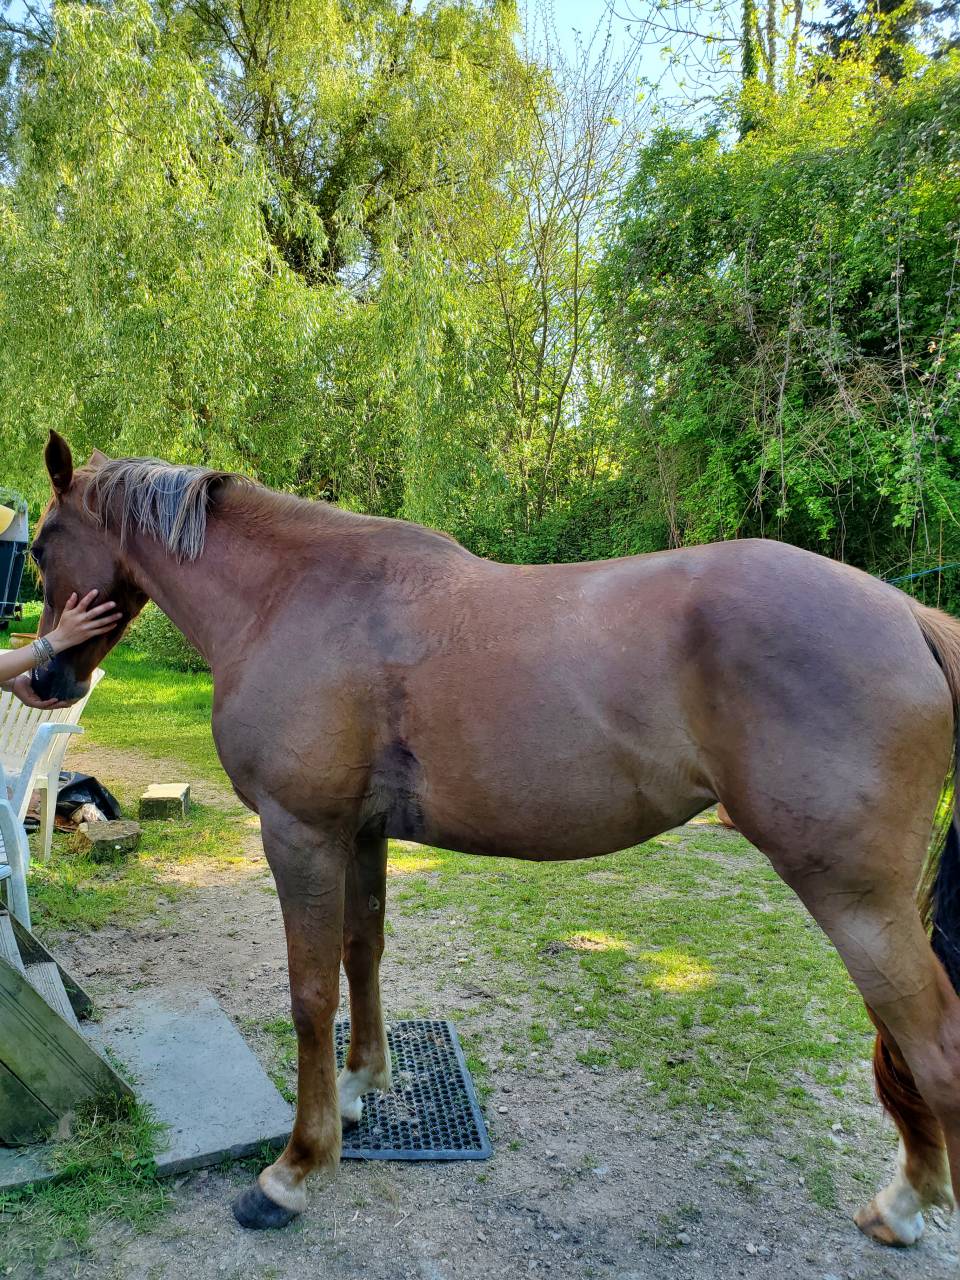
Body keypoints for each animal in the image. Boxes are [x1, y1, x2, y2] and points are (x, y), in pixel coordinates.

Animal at [28, 430, 960, 1248]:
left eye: (39, 547)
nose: (45, 675)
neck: (293, 598)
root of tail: (906, 614)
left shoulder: (300, 834)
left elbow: (310, 996)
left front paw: (293, 1171)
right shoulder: (358, 834)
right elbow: (362, 954)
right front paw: (363, 1085)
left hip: (854, 897)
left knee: (935, 1048)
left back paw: (905, 1206)